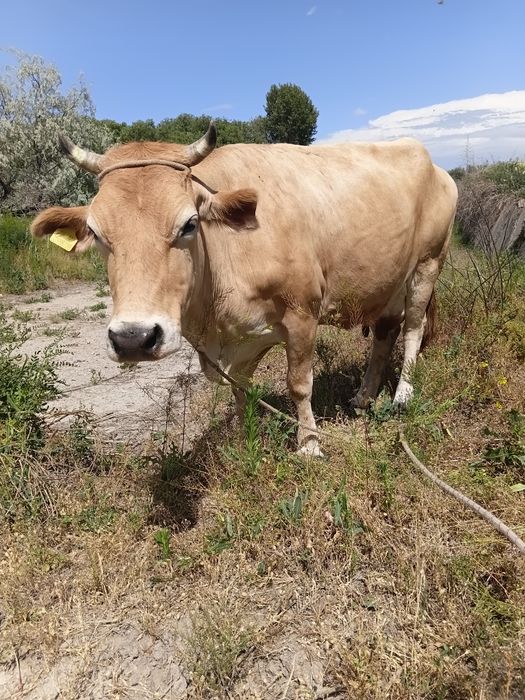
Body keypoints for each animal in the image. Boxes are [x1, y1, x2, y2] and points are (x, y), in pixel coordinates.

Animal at [31, 124, 457, 456]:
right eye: (97, 233)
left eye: (189, 224)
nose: (134, 338)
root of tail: (434, 165)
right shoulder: (242, 338)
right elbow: (239, 389)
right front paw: (241, 437)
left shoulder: (303, 312)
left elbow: (299, 384)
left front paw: (309, 444)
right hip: (387, 280)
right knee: (385, 334)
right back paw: (364, 396)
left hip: (426, 266)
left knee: (413, 329)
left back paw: (402, 395)